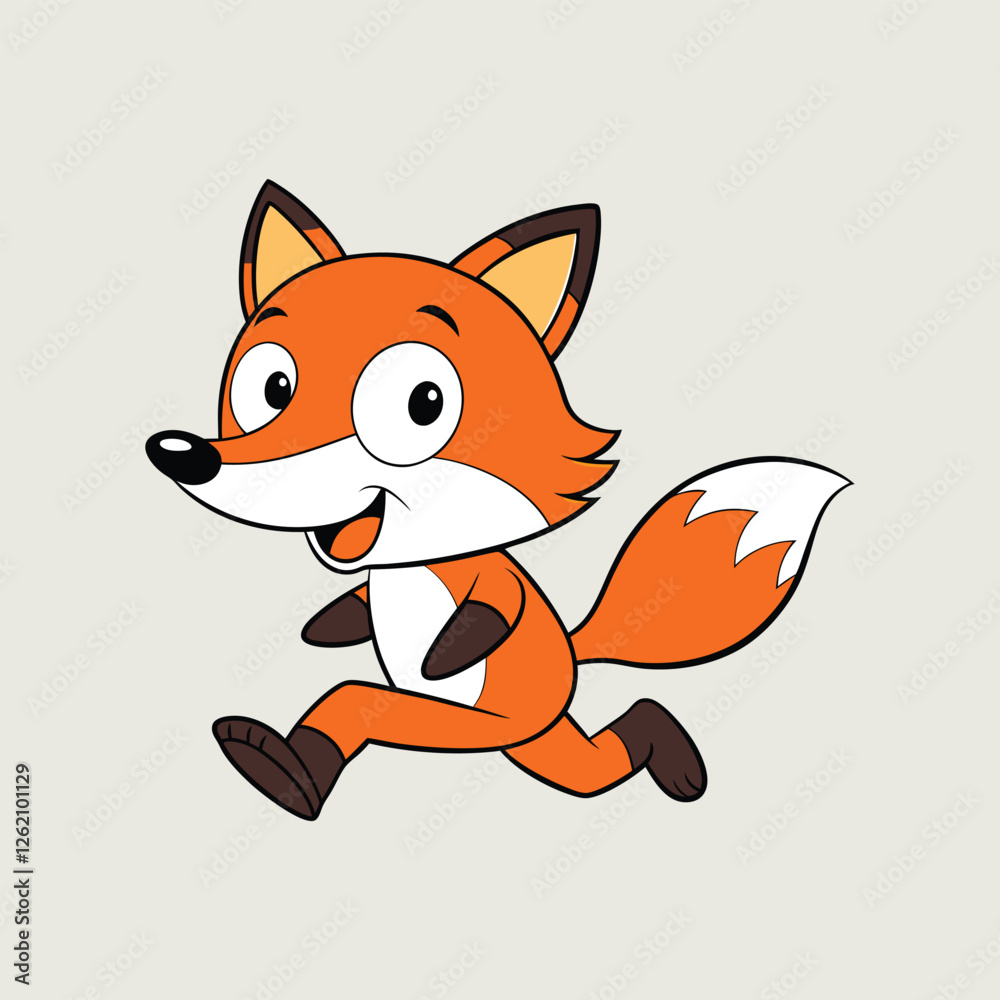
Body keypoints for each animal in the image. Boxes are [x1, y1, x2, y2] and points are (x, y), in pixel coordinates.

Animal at [146, 180, 849, 821]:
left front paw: (443, 654)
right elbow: (352, 610)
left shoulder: (489, 584)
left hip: (496, 725)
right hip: (526, 740)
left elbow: (484, 617)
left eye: (424, 402)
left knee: (372, 705)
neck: (413, 566)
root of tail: (572, 652)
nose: (186, 454)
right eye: (273, 387)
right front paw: (325, 627)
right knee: (590, 761)